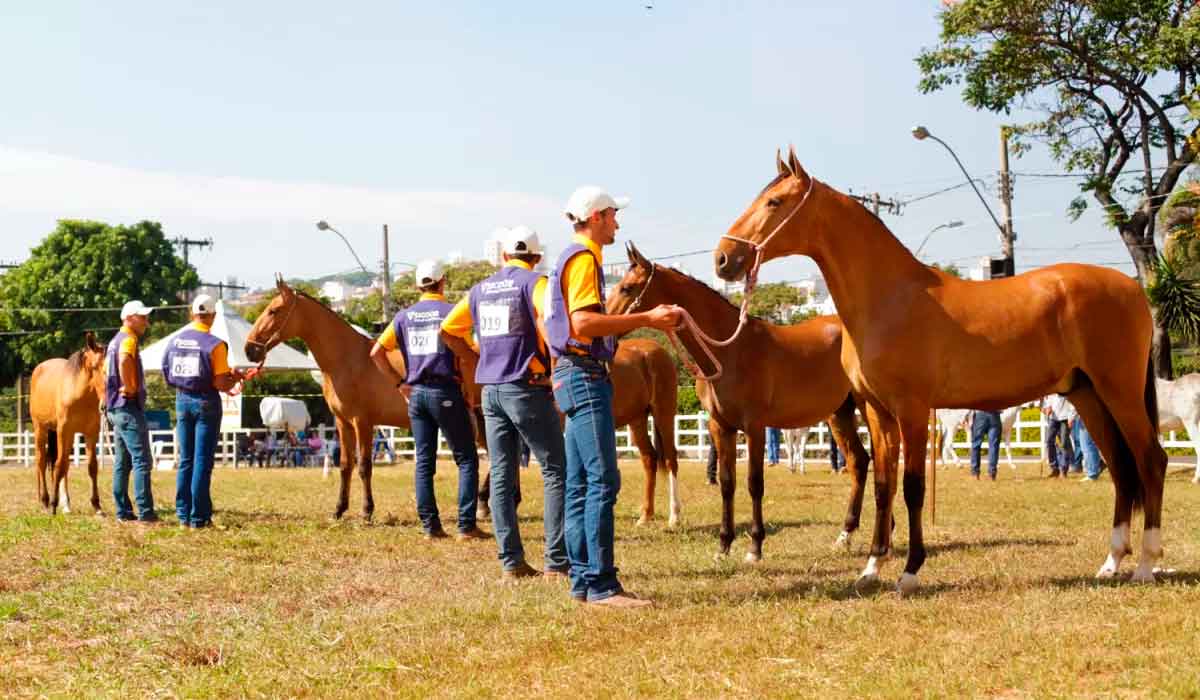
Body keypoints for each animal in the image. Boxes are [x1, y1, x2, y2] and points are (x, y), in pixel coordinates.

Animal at [30, 331, 108, 518]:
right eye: (96, 366)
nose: (105, 404)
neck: (81, 396)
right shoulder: (63, 431)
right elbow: (59, 465)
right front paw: (53, 505)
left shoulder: (90, 432)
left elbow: (92, 466)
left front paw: (97, 506)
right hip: (40, 429)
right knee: (41, 461)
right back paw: (44, 500)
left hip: (67, 436)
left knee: (62, 465)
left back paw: (66, 504)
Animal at [604, 243, 868, 561]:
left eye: (627, 288)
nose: (604, 325)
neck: (730, 351)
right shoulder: (722, 428)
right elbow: (727, 484)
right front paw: (724, 545)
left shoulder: (754, 428)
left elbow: (754, 483)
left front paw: (755, 547)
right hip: (839, 414)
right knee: (860, 462)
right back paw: (847, 536)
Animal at [715, 146, 1166, 590]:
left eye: (774, 202)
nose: (723, 258)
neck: (889, 298)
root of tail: (1132, 288)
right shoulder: (877, 411)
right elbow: (883, 485)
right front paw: (872, 566)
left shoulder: (912, 409)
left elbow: (913, 487)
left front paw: (910, 570)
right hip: (1087, 394)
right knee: (1122, 469)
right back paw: (1111, 562)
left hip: (1119, 392)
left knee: (1151, 461)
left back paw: (1146, 563)